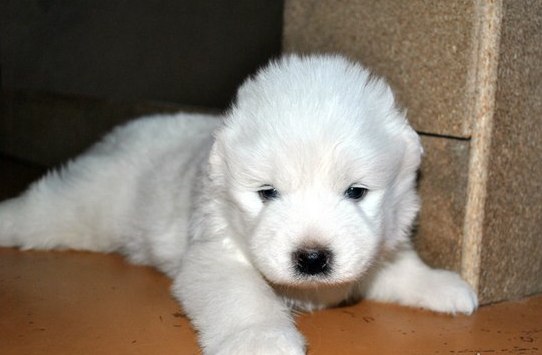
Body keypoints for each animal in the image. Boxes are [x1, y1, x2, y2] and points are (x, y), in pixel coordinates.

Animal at [0, 54, 476, 354]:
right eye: (267, 192)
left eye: (356, 192)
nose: (312, 258)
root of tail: (122, 131)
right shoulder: (215, 255)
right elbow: (245, 296)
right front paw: (263, 340)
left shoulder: (377, 249)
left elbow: (399, 266)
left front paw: (445, 287)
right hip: (86, 203)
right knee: (41, 208)